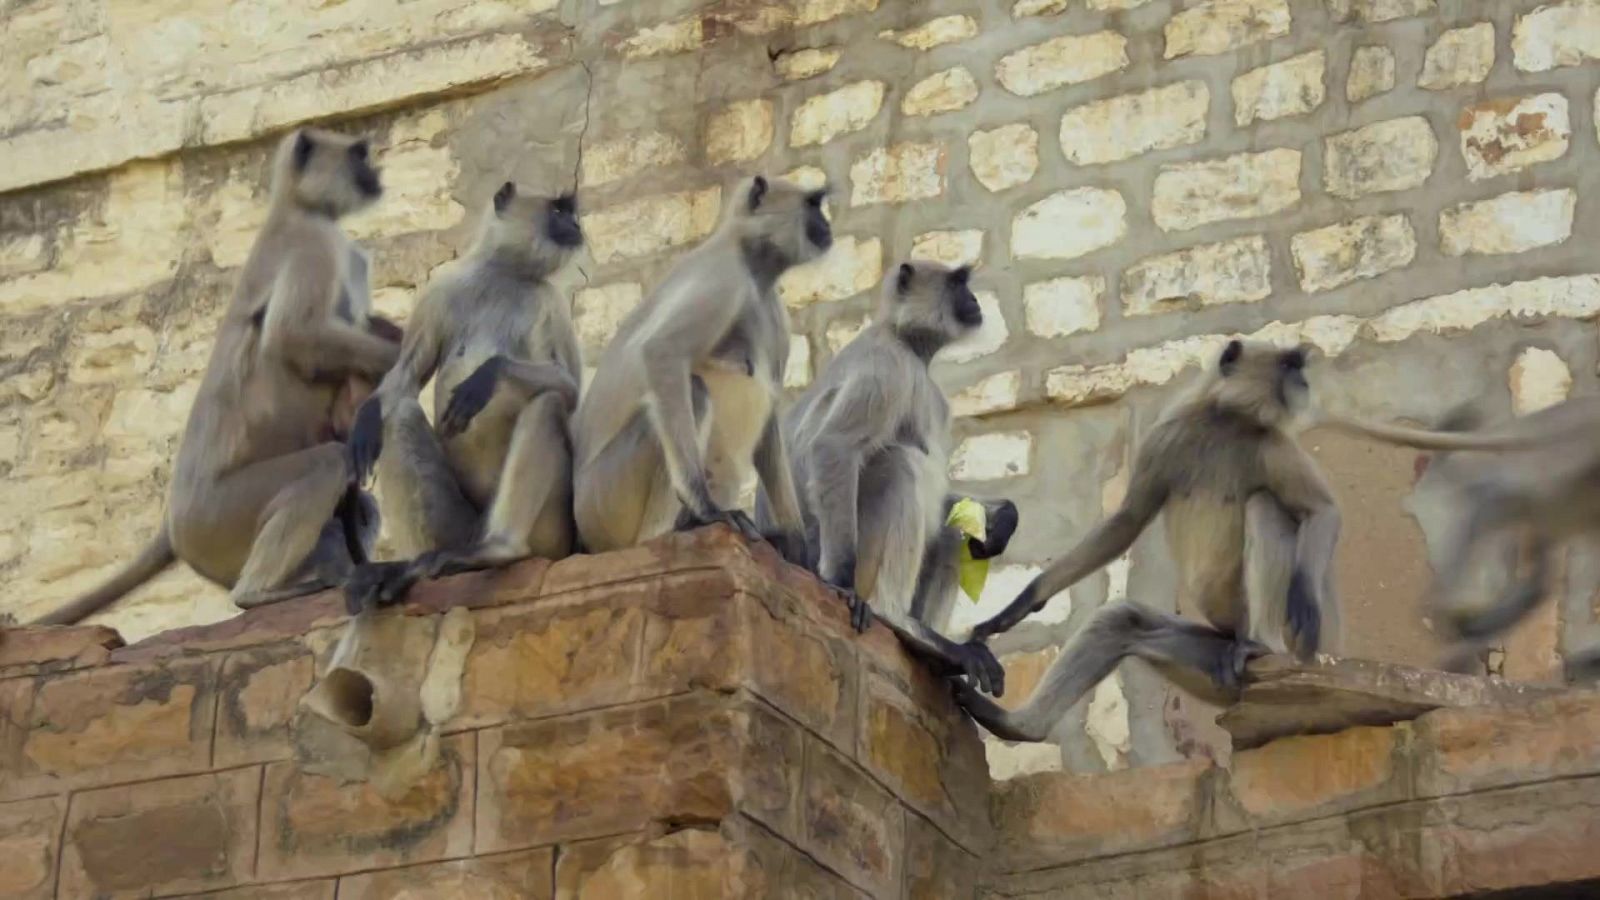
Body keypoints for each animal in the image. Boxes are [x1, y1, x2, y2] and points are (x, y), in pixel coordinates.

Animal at [29, 127, 399, 626]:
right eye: (359, 156)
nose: (375, 173)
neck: (294, 207)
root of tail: (173, 522)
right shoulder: (315, 244)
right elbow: (295, 336)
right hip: (220, 514)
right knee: (326, 464)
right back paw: (258, 593)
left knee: (354, 499)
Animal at [342, 181, 584, 611]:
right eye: (559, 212)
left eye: (571, 213)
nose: (576, 226)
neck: (503, 273)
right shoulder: (440, 290)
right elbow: (405, 379)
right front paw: (364, 421)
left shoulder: (550, 303)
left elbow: (570, 389)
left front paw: (486, 376)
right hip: (457, 527)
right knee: (398, 415)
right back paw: (412, 568)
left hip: (552, 536)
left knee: (547, 403)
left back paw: (498, 550)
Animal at [569, 175, 827, 563]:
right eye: (812, 204)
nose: (826, 225)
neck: (753, 268)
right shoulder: (724, 276)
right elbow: (661, 352)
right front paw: (705, 509)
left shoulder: (774, 314)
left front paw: (798, 548)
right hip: (605, 500)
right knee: (694, 390)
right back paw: (671, 529)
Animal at [758, 260, 1017, 693]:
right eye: (957, 283)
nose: (974, 300)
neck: (908, 344)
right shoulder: (888, 365)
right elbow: (833, 445)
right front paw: (839, 584)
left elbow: (948, 503)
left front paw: (1004, 518)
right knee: (898, 464)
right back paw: (895, 617)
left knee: (951, 530)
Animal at [957, 340, 1340, 742]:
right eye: (1288, 366)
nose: (1302, 382)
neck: (1225, 419)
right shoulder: (1165, 436)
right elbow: (1127, 521)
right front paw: (1019, 605)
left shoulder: (1273, 444)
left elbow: (1322, 511)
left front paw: (1306, 605)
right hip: (1215, 659)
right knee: (1121, 621)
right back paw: (1017, 725)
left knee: (1266, 506)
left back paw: (1263, 646)